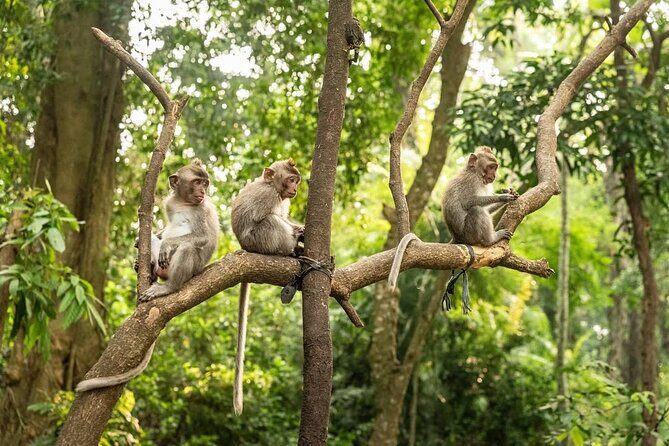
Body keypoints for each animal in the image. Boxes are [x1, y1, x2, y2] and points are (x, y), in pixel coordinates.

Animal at [76, 160, 219, 393]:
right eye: (198, 182)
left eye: (205, 183)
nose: (203, 192)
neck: (184, 203)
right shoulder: (170, 203)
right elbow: (162, 231)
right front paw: (142, 242)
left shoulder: (202, 208)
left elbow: (203, 237)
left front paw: (168, 244)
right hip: (162, 266)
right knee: (153, 241)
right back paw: (149, 270)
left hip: (194, 268)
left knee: (187, 248)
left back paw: (168, 287)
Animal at [230, 158, 302, 415]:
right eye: (290, 179)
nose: (295, 189)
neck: (274, 188)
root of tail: (246, 248)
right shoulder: (268, 196)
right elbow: (265, 216)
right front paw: (298, 232)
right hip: (260, 241)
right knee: (271, 222)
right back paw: (291, 247)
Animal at [387, 146, 517, 292]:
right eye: (491, 166)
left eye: (495, 167)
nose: (494, 175)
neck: (475, 172)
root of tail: (457, 237)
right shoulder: (471, 181)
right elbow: (468, 202)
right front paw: (502, 197)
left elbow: (486, 209)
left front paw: (509, 196)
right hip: (469, 233)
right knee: (476, 210)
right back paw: (490, 239)